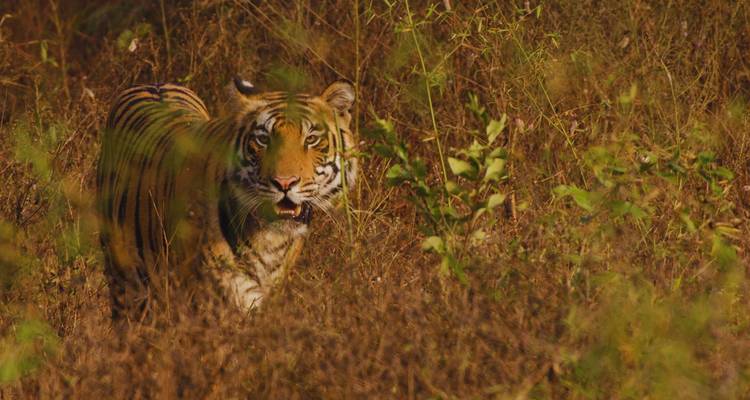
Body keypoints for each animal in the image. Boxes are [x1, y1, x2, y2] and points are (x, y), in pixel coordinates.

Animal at [96, 77, 357, 322]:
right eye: (263, 140)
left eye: (311, 139)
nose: (285, 183)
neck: (269, 237)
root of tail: (155, 82)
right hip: (123, 280)